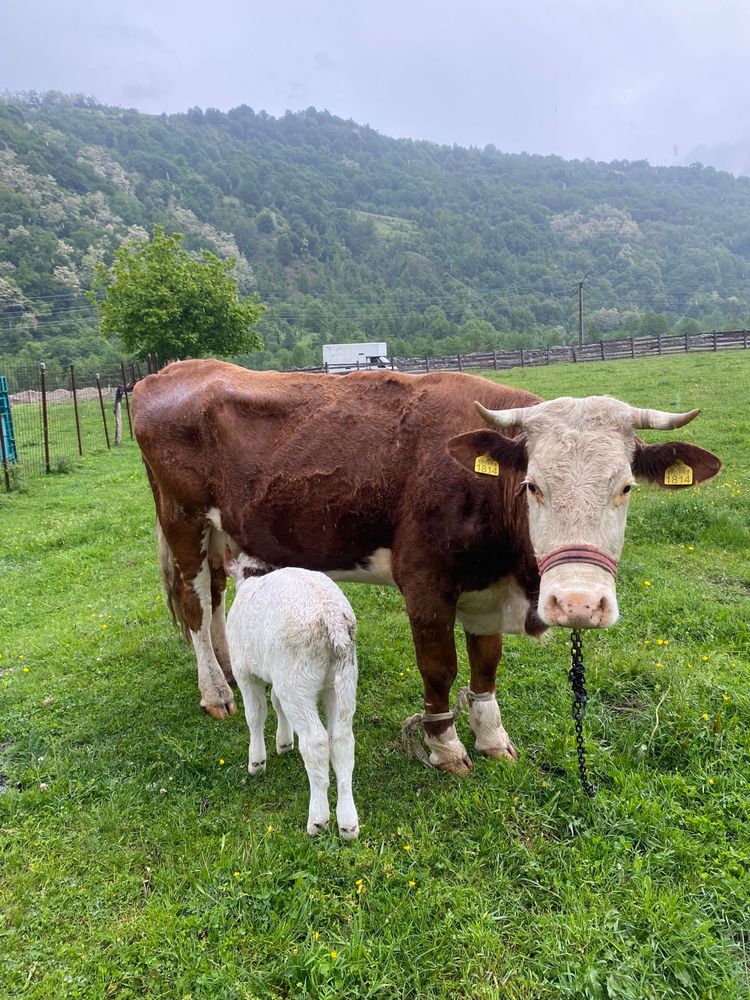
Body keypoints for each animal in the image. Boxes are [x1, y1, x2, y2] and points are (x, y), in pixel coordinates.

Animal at [131, 360, 724, 772]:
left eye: (625, 487)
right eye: (533, 485)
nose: (578, 603)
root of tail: (171, 371)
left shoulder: (485, 590)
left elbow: (486, 665)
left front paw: (492, 737)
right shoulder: (425, 582)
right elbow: (440, 666)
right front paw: (446, 745)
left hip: (219, 532)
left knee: (214, 597)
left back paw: (230, 670)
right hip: (183, 521)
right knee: (193, 604)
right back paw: (215, 693)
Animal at [226, 560, 362, 840]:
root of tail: (332, 618)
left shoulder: (244, 671)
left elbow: (255, 715)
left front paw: (257, 762)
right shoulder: (276, 674)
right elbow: (277, 704)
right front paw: (284, 742)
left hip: (297, 682)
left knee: (316, 743)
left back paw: (318, 820)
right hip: (344, 678)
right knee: (342, 740)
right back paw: (348, 823)